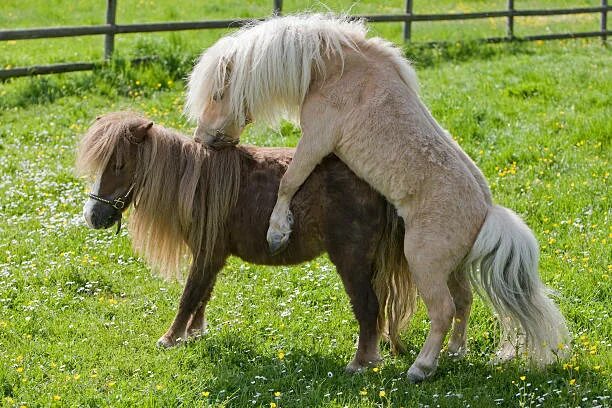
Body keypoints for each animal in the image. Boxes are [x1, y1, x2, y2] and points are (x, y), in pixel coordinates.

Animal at [74, 111, 414, 372]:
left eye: (119, 164)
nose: (93, 216)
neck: (198, 184)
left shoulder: (207, 253)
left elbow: (190, 295)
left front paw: (170, 338)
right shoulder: (212, 255)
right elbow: (203, 294)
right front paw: (194, 333)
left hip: (351, 261)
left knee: (368, 308)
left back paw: (360, 363)